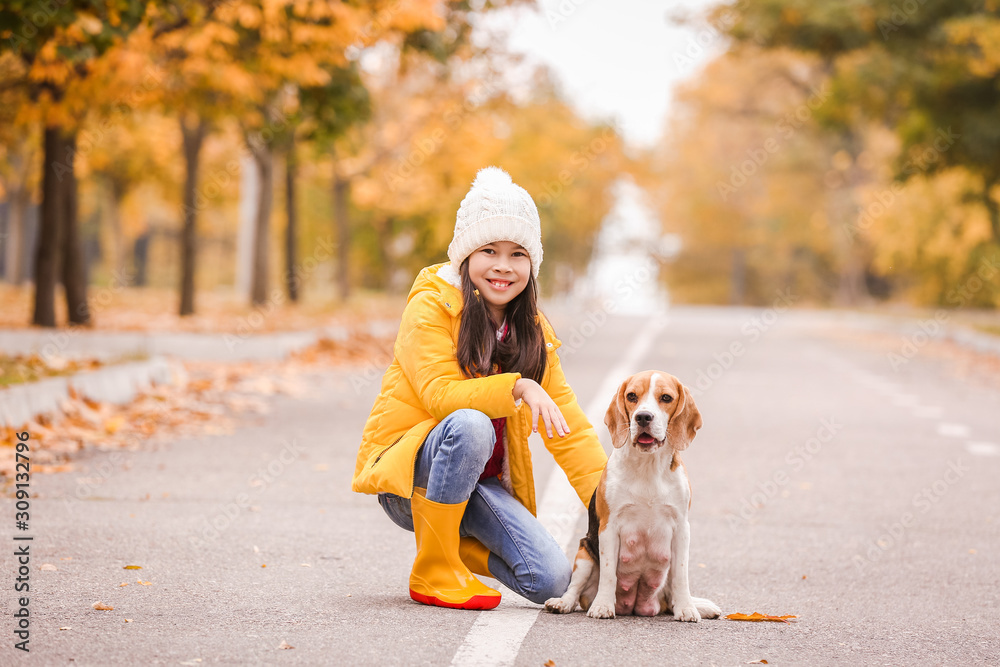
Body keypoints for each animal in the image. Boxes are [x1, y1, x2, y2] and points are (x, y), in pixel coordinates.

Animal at [548, 370, 720, 620]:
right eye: (631, 396)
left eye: (666, 398)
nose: (643, 417)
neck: (647, 466)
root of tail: (634, 606)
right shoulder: (608, 527)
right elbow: (609, 573)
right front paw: (603, 606)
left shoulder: (681, 528)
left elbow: (681, 576)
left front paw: (687, 608)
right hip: (584, 554)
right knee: (574, 589)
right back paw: (562, 603)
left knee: (672, 593)